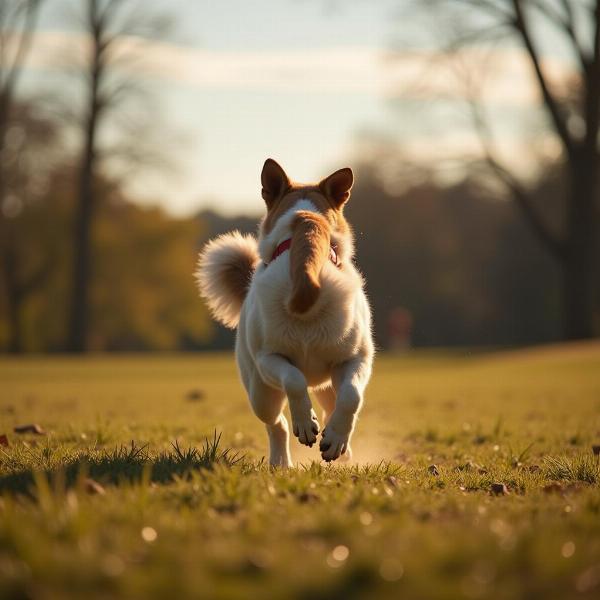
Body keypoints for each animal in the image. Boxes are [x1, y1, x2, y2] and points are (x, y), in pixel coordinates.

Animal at [197, 161, 372, 468]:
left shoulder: (355, 359)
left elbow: (351, 396)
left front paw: (336, 438)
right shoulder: (270, 358)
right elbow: (294, 379)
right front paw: (305, 422)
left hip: (326, 382)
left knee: (332, 403)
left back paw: (340, 445)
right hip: (261, 393)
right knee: (277, 424)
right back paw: (281, 461)